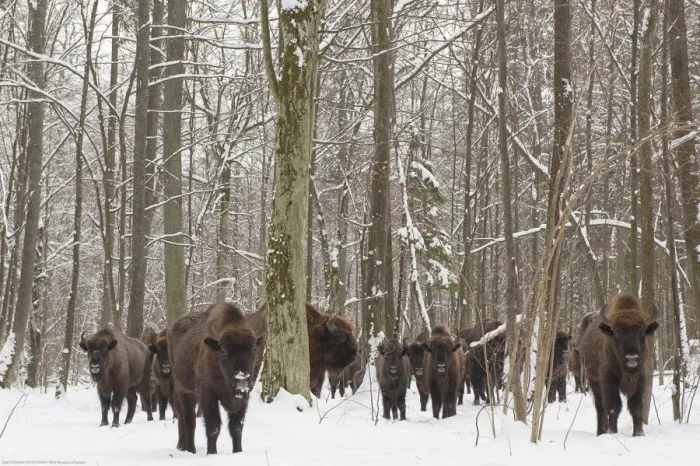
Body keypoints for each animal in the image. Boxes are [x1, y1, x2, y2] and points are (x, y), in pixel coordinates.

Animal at [579, 292, 658, 437]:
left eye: (642, 332)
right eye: (616, 333)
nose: (631, 358)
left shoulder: (640, 379)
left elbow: (636, 407)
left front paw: (639, 434)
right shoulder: (609, 380)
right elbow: (613, 407)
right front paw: (613, 432)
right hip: (593, 380)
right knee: (600, 407)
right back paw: (601, 432)